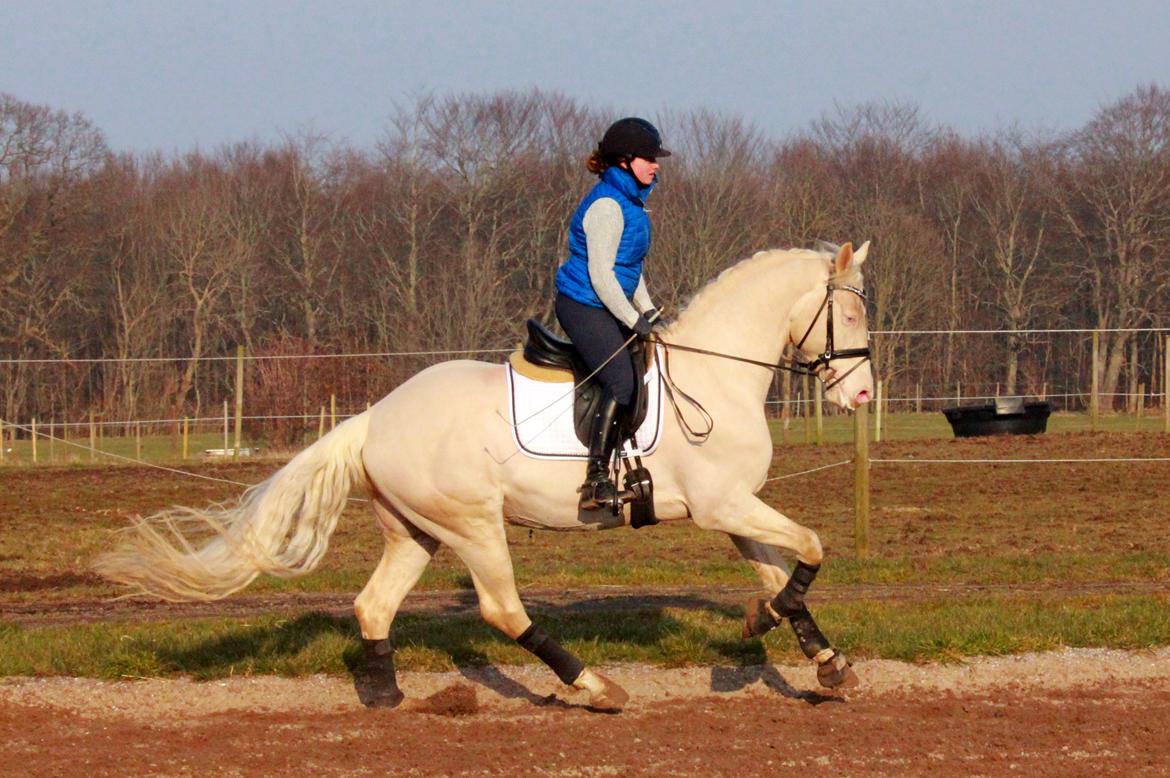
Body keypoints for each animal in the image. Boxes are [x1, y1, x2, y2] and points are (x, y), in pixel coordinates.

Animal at [95, 243, 875, 711]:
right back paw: (593, 685)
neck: (716, 375)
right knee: (503, 611)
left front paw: (818, 656)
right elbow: (811, 547)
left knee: (374, 606)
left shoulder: (735, 507)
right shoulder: (723, 505)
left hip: (414, 531)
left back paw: (389, 699)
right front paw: (773, 628)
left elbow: (781, 572)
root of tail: (374, 417)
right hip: (471, 524)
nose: (863, 395)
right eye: (850, 310)